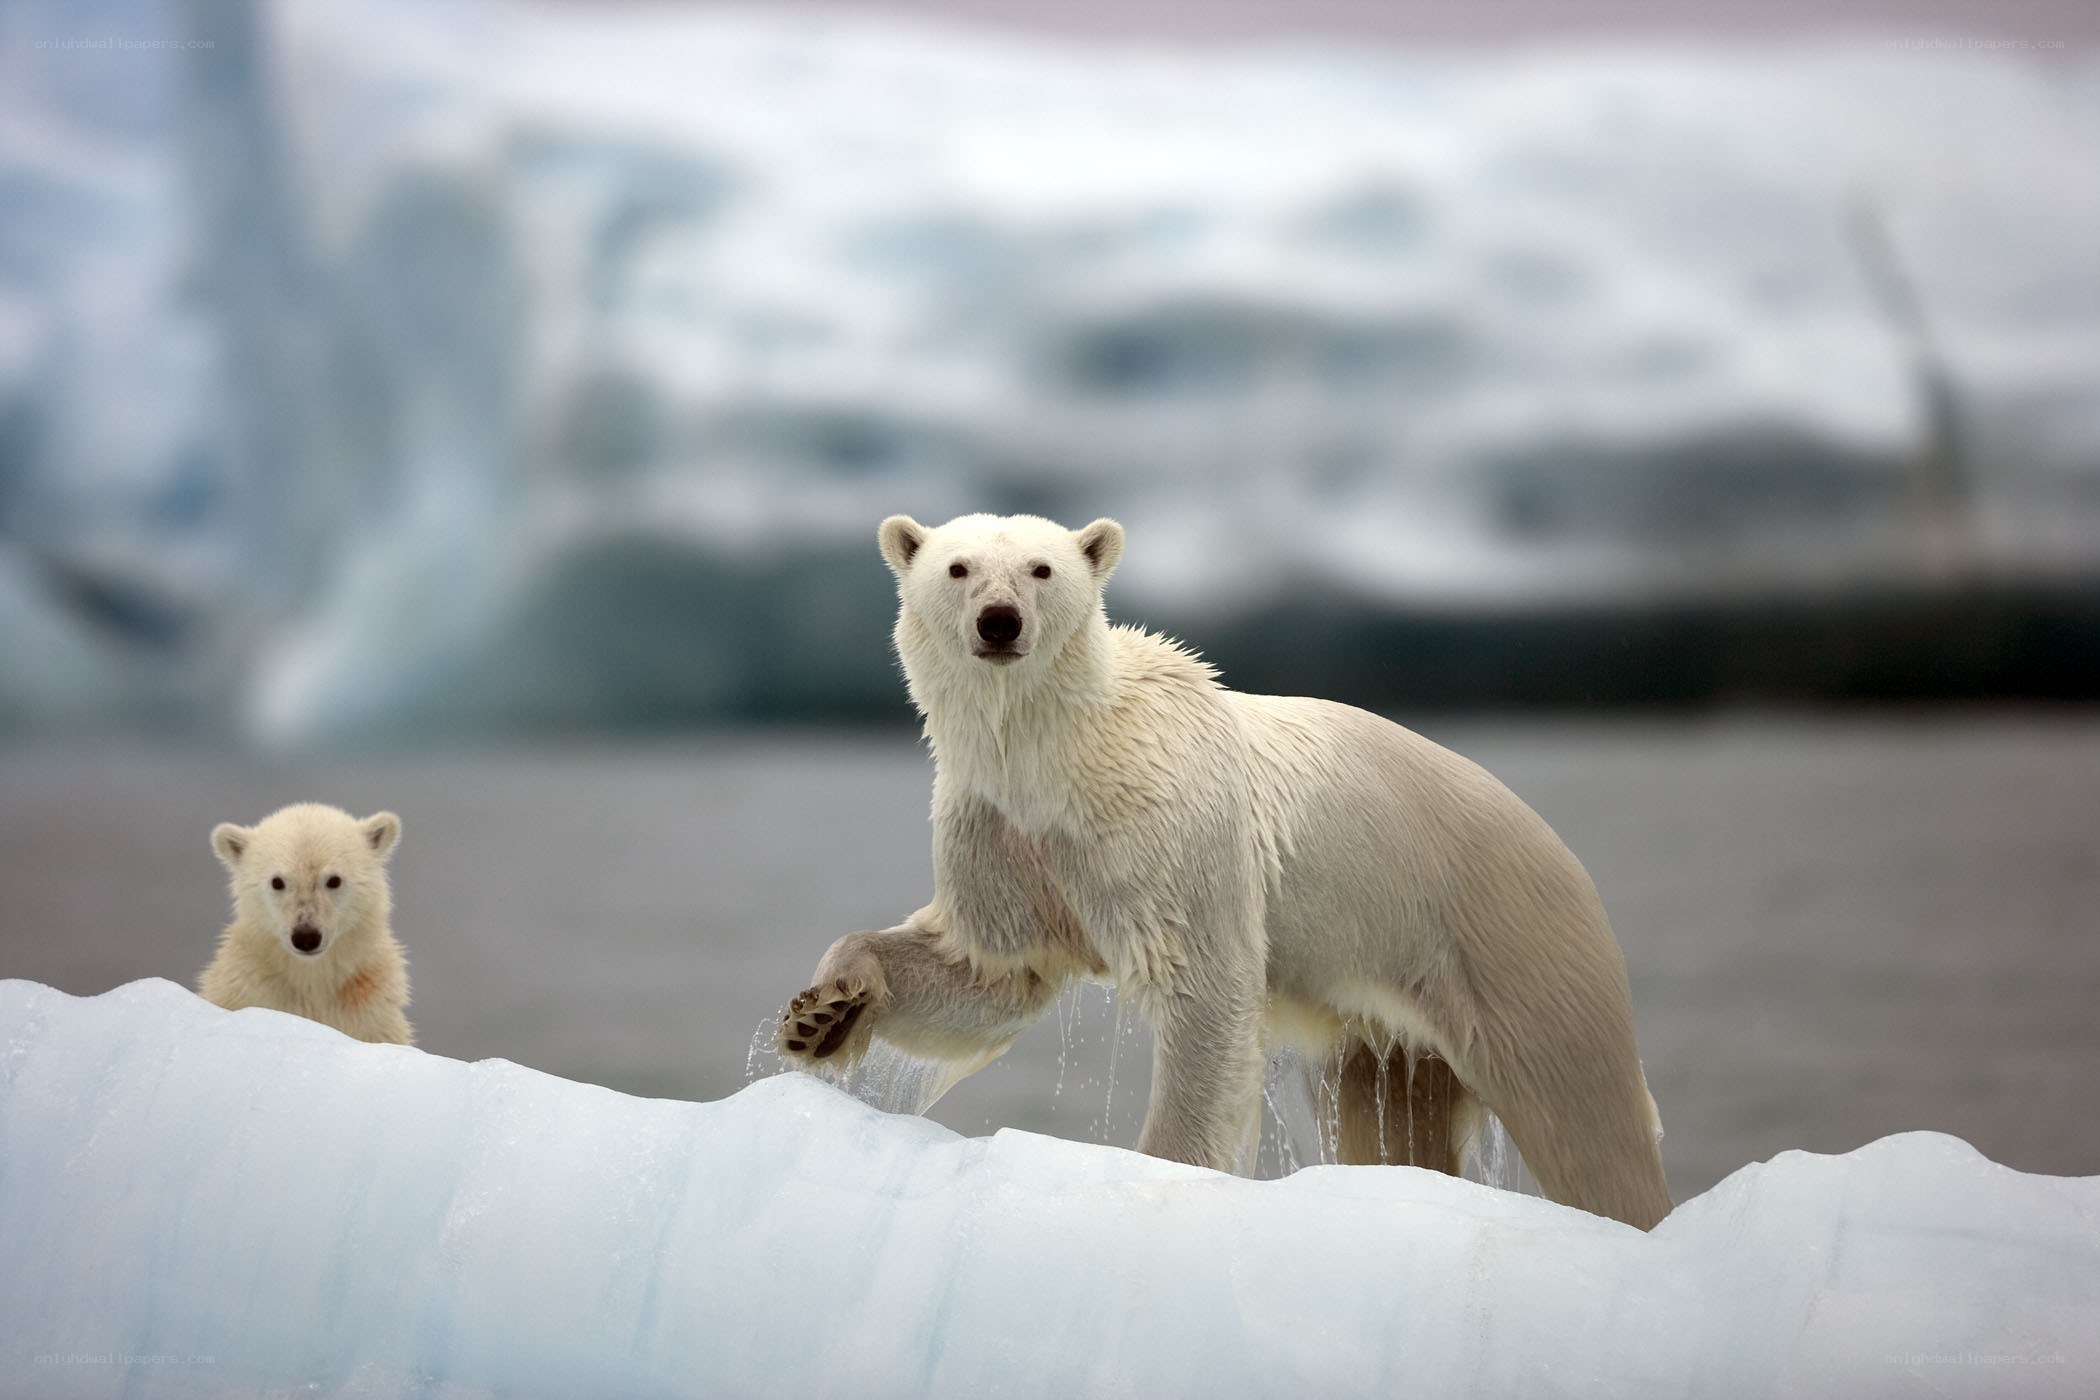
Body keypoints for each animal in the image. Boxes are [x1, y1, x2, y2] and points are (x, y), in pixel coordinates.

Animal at [200, 802, 414, 1046]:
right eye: (277, 881)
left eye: (334, 880)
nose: (306, 937)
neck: (312, 979)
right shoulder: (249, 991)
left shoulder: (370, 1010)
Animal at [778, 512, 1672, 1230]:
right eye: (958, 568)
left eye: (1041, 569)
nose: (999, 622)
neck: (1058, 757)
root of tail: (1557, 847)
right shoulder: (1000, 833)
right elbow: (991, 971)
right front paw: (823, 1013)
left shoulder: (1169, 828)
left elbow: (1202, 990)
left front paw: (1161, 1172)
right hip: (1390, 1022)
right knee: (1392, 1119)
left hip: (1511, 942)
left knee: (1586, 1122)